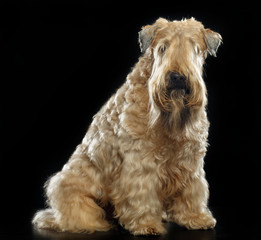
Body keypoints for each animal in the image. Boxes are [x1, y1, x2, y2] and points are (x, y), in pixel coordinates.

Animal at [31, 17, 220, 235]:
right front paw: (146, 224)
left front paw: (195, 217)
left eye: (194, 48)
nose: (177, 77)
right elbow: (142, 194)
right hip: (69, 184)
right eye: (163, 48)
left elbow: (191, 191)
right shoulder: (141, 162)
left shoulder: (190, 160)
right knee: (75, 213)